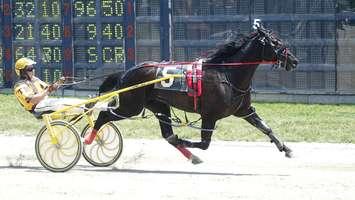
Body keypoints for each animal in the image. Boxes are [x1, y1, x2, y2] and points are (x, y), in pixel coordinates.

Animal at [85, 25, 298, 163]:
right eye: (275, 42)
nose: (294, 61)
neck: (227, 73)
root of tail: (127, 72)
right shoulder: (209, 115)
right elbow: (204, 143)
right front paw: (185, 141)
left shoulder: (244, 110)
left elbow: (265, 127)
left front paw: (286, 149)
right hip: (130, 107)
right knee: (104, 115)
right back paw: (88, 140)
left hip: (159, 106)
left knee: (167, 134)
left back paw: (191, 156)